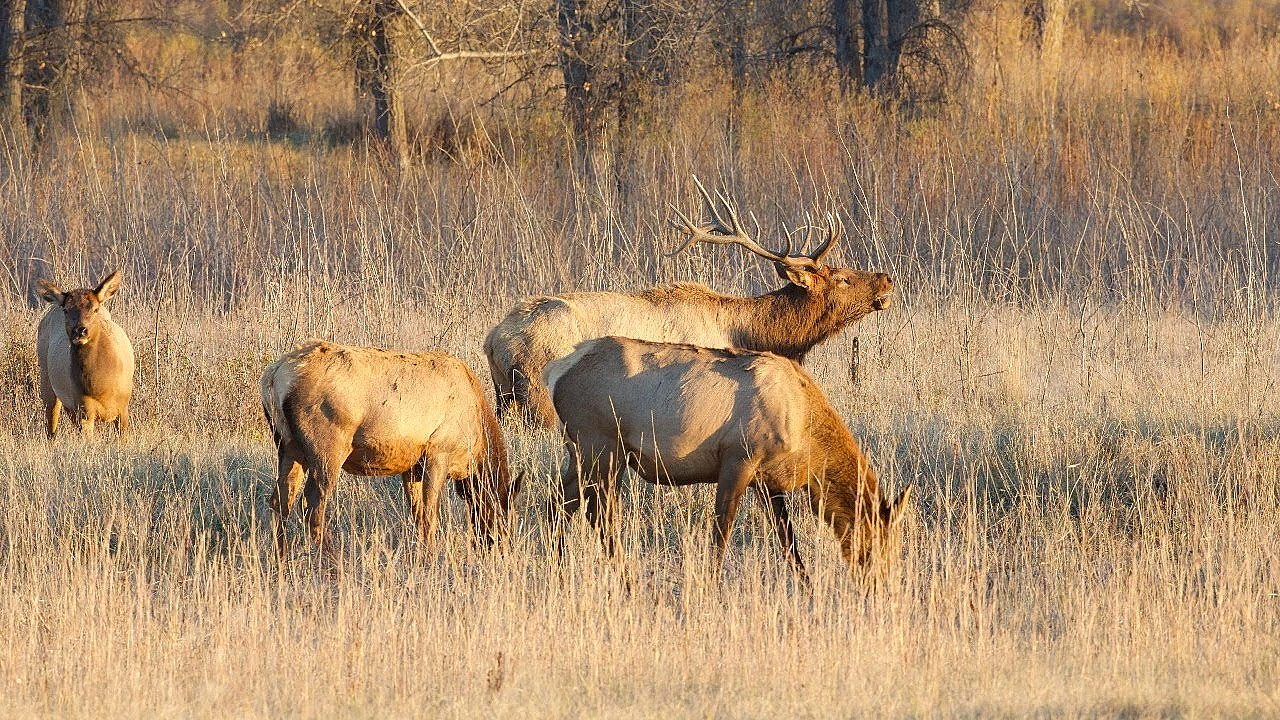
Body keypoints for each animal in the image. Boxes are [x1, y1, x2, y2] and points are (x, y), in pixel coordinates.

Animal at [36, 271, 135, 440]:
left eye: (95, 309)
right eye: (66, 310)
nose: (80, 330)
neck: (101, 387)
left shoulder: (123, 406)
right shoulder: (84, 408)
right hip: (46, 376)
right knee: (51, 423)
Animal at [260, 340, 518, 556]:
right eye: (502, 514)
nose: (498, 547)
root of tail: (272, 377)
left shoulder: (412, 466)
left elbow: (418, 513)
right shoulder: (439, 452)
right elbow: (430, 514)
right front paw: (431, 556)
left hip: (288, 445)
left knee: (280, 500)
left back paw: (280, 559)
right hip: (328, 447)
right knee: (311, 503)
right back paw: (327, 560)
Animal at [484, 177, 894, 429]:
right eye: (841, 277)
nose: (886, 278)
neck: (746, 333)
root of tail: (494, 341)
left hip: (505, 396)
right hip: (539, 394)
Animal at [545, 336, 912, 579]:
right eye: (879, 541)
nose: (880, 584)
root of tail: (554, 374)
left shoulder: (766, 481)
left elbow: (787, 539)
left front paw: (805, 585)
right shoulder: (738, 459)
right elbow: (722, 532)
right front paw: (710, 586)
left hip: (581, 451)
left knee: (558, 501)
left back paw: (557, 570)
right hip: (602, 447)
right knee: (599, 513)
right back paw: (625, 579)